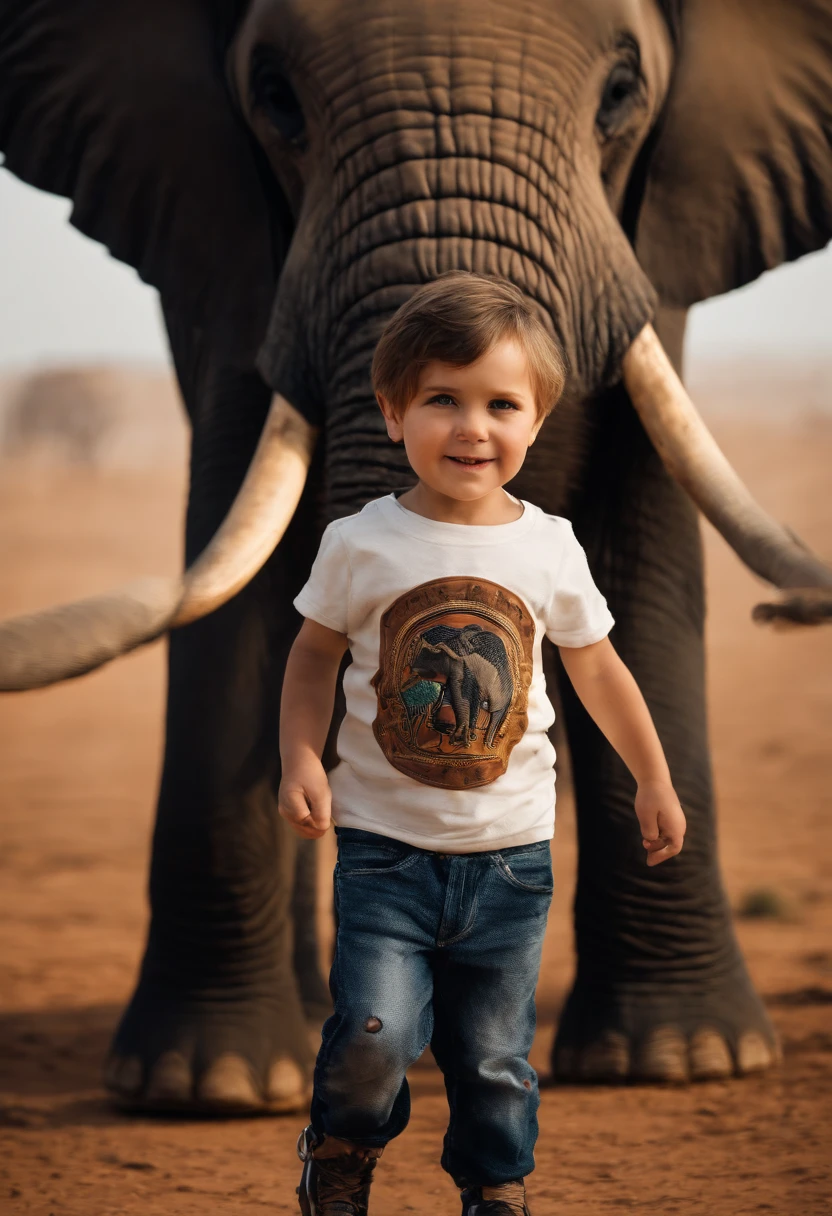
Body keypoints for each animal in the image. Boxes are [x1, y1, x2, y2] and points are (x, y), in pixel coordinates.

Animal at [1, 0, 832, 1113]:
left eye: (621, 94)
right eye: (275, 97)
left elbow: (641, 547)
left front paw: (680, 1060)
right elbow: (242, 546)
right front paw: (203, 1087)